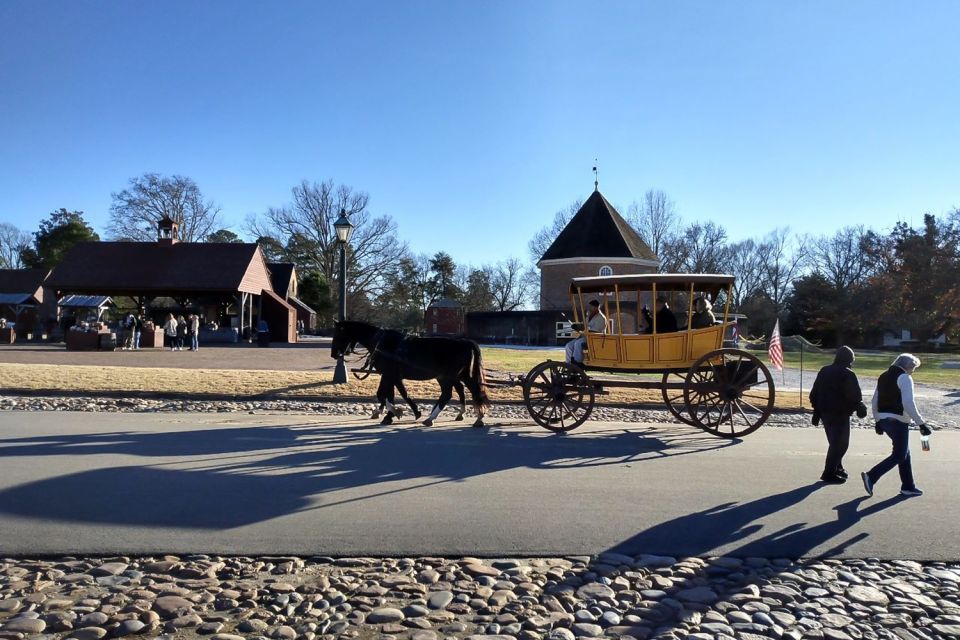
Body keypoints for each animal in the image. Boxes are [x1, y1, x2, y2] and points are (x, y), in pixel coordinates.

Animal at [334, 320, 492, 430]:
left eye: (338, 335)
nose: (334, 354)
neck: (380, 342)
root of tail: (465, 342)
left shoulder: (388, 374)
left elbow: (383, 394)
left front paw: (394, 412)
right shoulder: (392, 375)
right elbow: (395, 393)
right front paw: (403, 413)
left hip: (448, 376)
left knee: (454, 393)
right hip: (453, 375)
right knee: (462, 390)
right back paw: (459, 414)